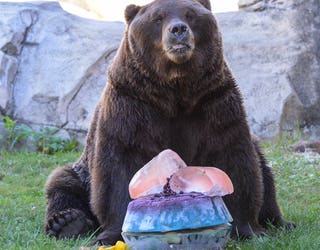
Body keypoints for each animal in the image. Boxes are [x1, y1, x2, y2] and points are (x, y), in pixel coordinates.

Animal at [44, 0, 296, 246]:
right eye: (158, 18)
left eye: (190, 14)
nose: (178, 30)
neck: (175, 90)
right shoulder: (130, 105)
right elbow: (119, 169)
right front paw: (111, 234)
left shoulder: (215, 102)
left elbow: (234, 161)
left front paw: (249, 229)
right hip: (82, 171)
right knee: (63, 184)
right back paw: (67, 222)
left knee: (264, 172)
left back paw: (281, 222)